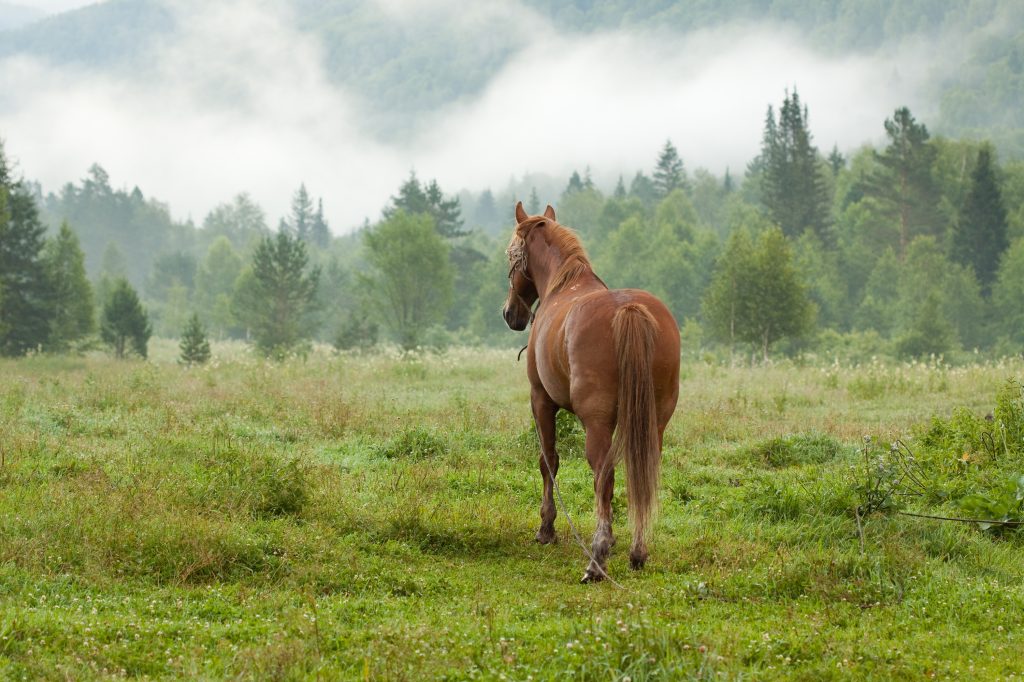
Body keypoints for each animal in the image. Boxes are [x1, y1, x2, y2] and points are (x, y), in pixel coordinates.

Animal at [503, 201, 680, 583]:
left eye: (511, 254)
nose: (511, 314)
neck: (563, 285)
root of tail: (629, 309)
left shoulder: (540, 401)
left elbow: (548, 461)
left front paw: (547, 528)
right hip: (654, 422)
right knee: (642, 475)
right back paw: (637, 551)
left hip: (597, 425)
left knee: (604, 476)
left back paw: (597, 558)